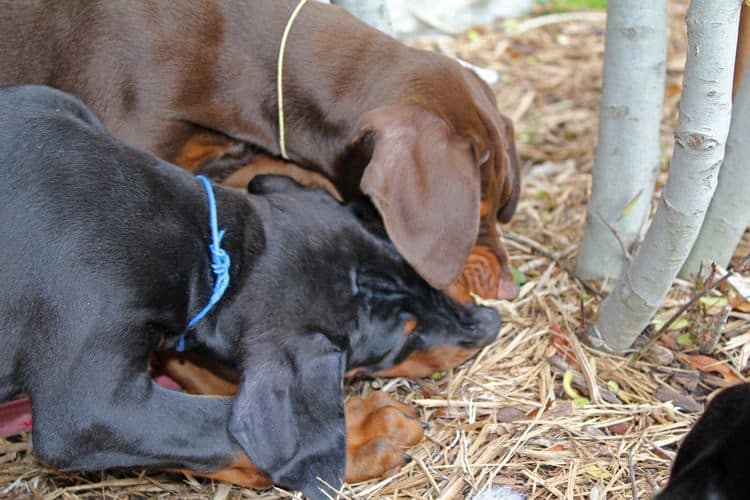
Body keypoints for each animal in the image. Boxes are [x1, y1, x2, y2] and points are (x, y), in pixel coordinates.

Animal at [1, 85, 506, 496]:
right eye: (404, 336)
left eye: (406, 261)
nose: (489, 323)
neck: (205, 242)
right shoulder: (88, 406)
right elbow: (211, 426)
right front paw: (365, 432)